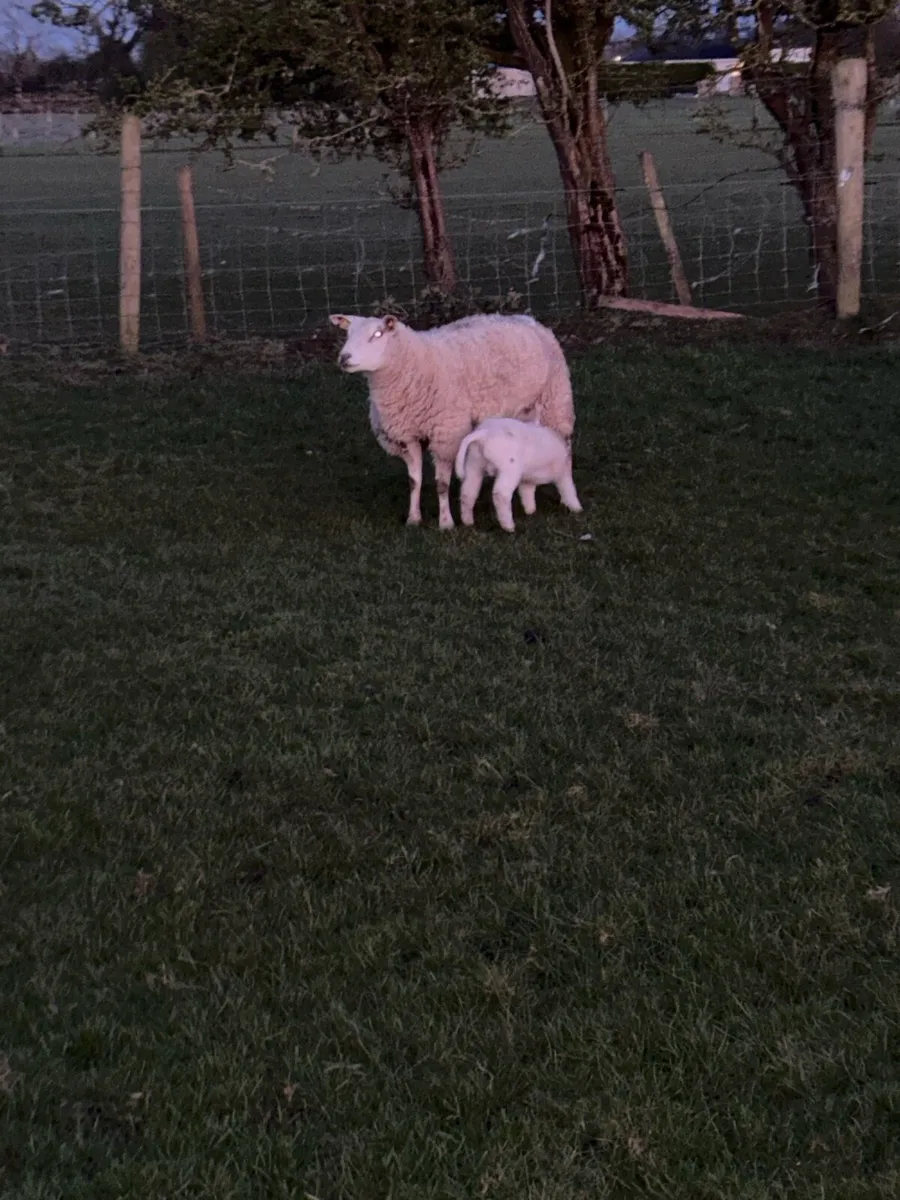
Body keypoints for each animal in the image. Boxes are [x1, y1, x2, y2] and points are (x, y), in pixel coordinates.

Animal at [454, 416, 583, 533]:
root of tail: (484, 433)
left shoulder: (528, 478)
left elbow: (527, 492)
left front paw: (530, 510)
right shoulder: (562, 472)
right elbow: (568, 489)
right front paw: (577, 509)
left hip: (474, 463)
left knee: (468, 492)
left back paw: (468, 522)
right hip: (509, 468)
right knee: (501, 494)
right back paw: (509, 526)